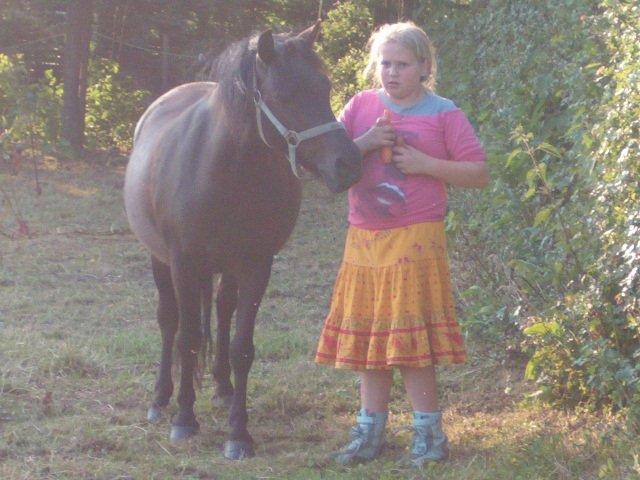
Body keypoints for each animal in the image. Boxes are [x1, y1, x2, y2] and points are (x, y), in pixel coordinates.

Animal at [123, 21, 362, 460]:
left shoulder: (256, 265)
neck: (223, 171)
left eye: (324, 87)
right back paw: (161, 399)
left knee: (222, 311)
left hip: (227, 268)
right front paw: (185, 419)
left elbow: (241, 346)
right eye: (284, 95)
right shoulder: (184, 263)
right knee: (169, 321)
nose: (349, 163)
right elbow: (187, 337)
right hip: (160, 260)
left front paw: (238, 431)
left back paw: (222, 388)